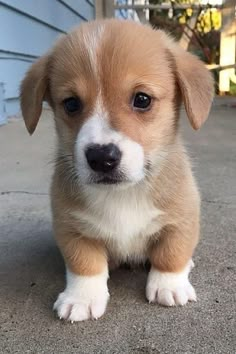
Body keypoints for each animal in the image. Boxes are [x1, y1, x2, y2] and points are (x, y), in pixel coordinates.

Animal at [20, 20, 214, 324]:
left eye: (142, 99)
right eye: (71, 103)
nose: (101, 158)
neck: (123, 194)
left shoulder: (181, 218)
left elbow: (171, 253)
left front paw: (169, 285)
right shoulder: (71, 227)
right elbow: (84, 263)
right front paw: (82, 297)